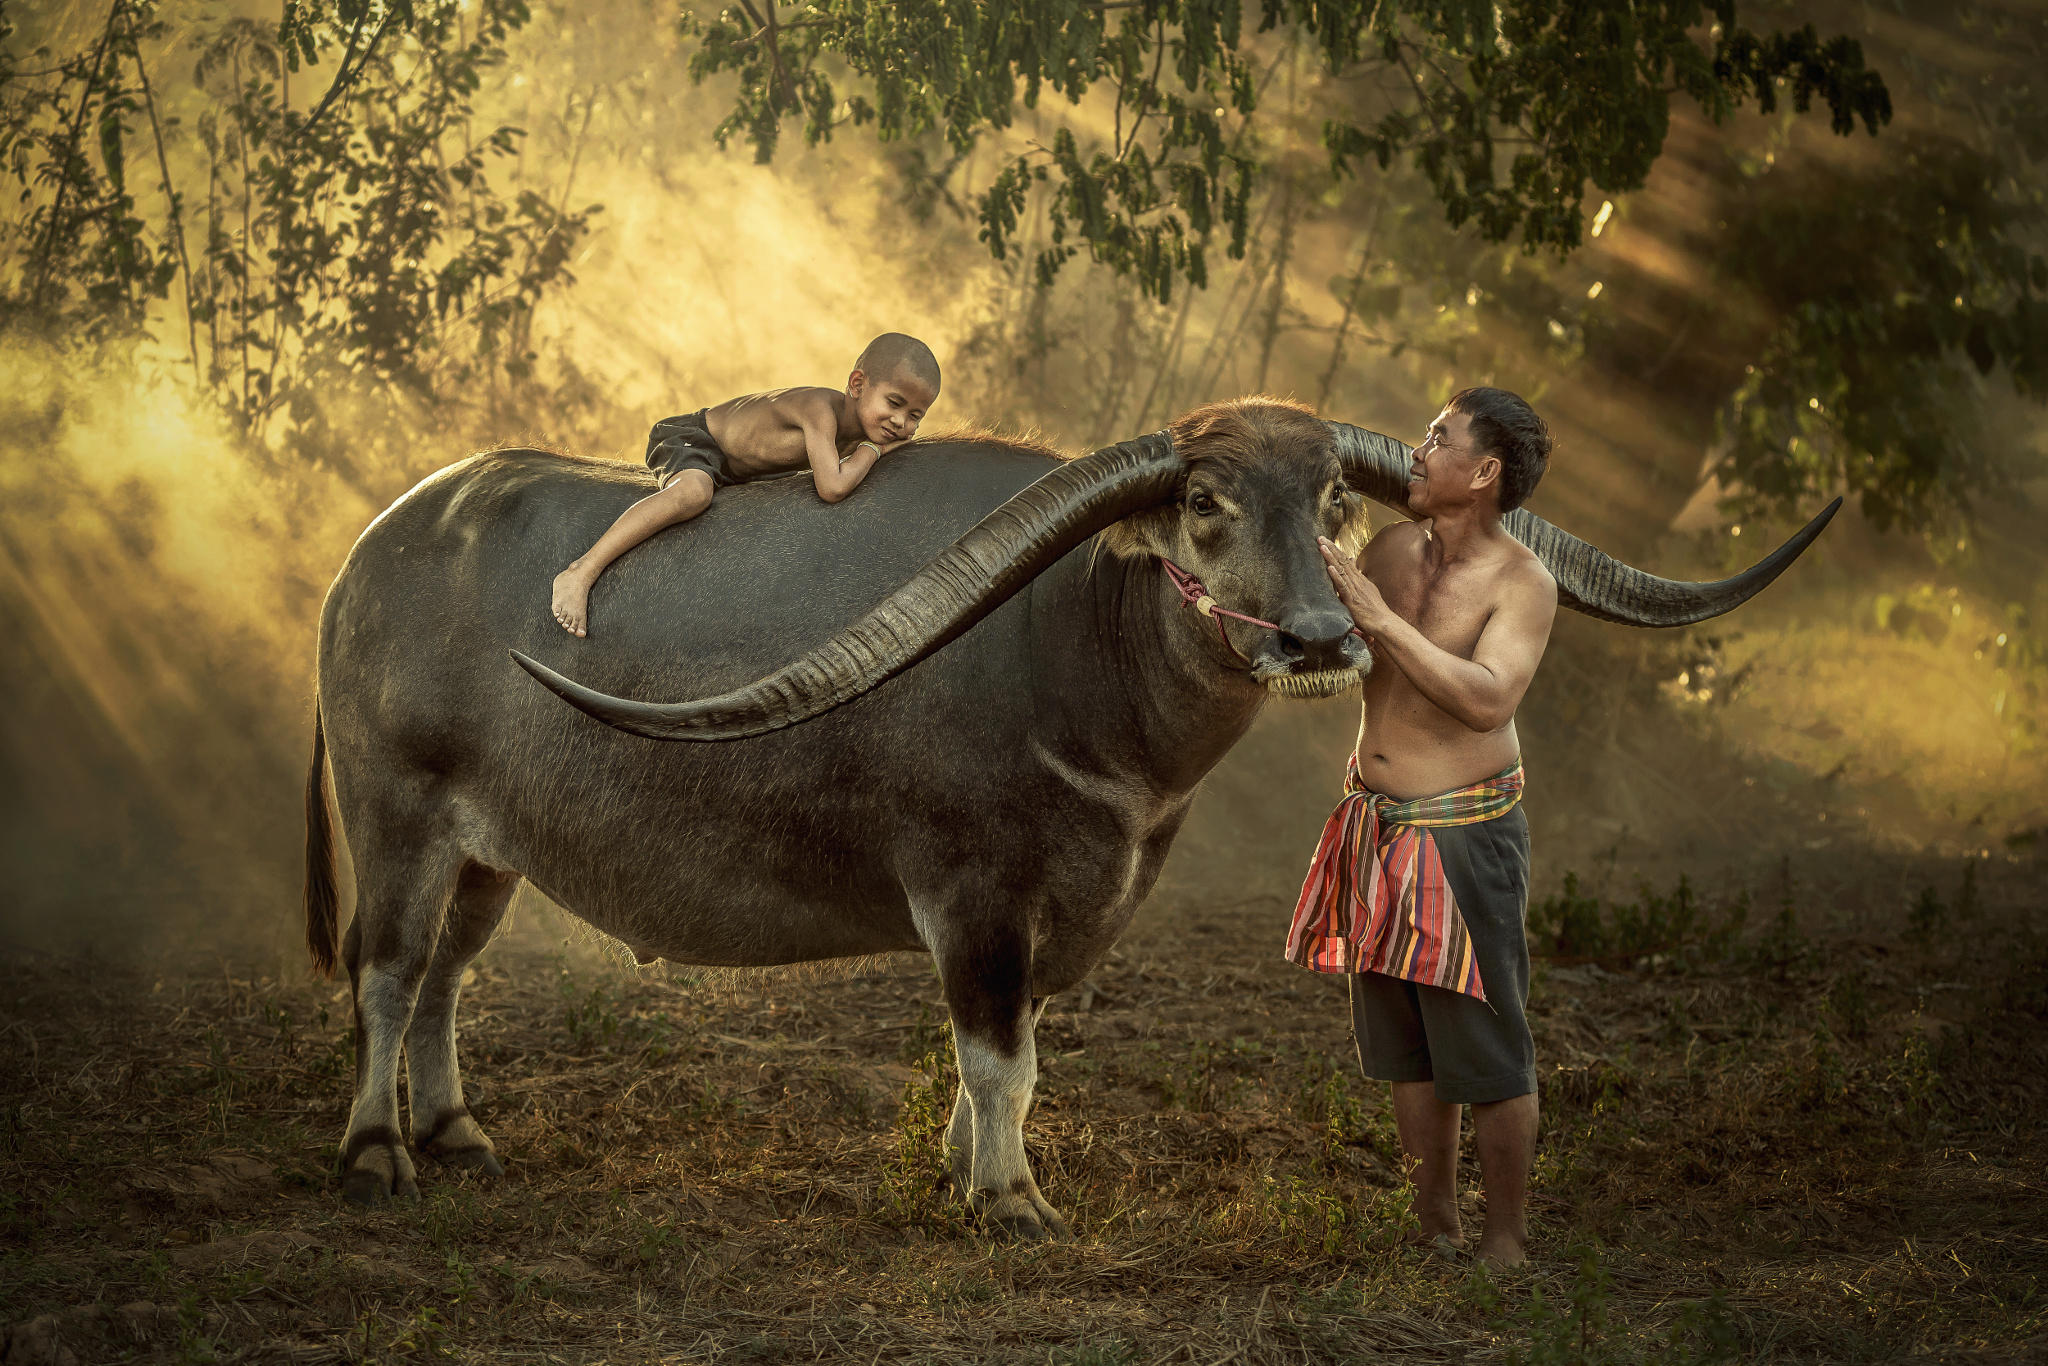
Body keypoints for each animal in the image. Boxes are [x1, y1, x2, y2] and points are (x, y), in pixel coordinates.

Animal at [307, 397, 1843, 1236]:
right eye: (1207, 500)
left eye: (1333, 499)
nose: (1318, 637)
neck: (1072, 654)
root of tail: (375, 545)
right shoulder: (971, 894)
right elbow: (998, 1055)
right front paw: (1008, 1197)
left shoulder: (1077, 900)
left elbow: (1022, 1055)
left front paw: (960, 1171)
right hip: (395, 812)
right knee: (383, 974)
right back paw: (377, 1150)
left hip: (490, 851)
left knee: (445, 977)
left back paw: (456, 1132)